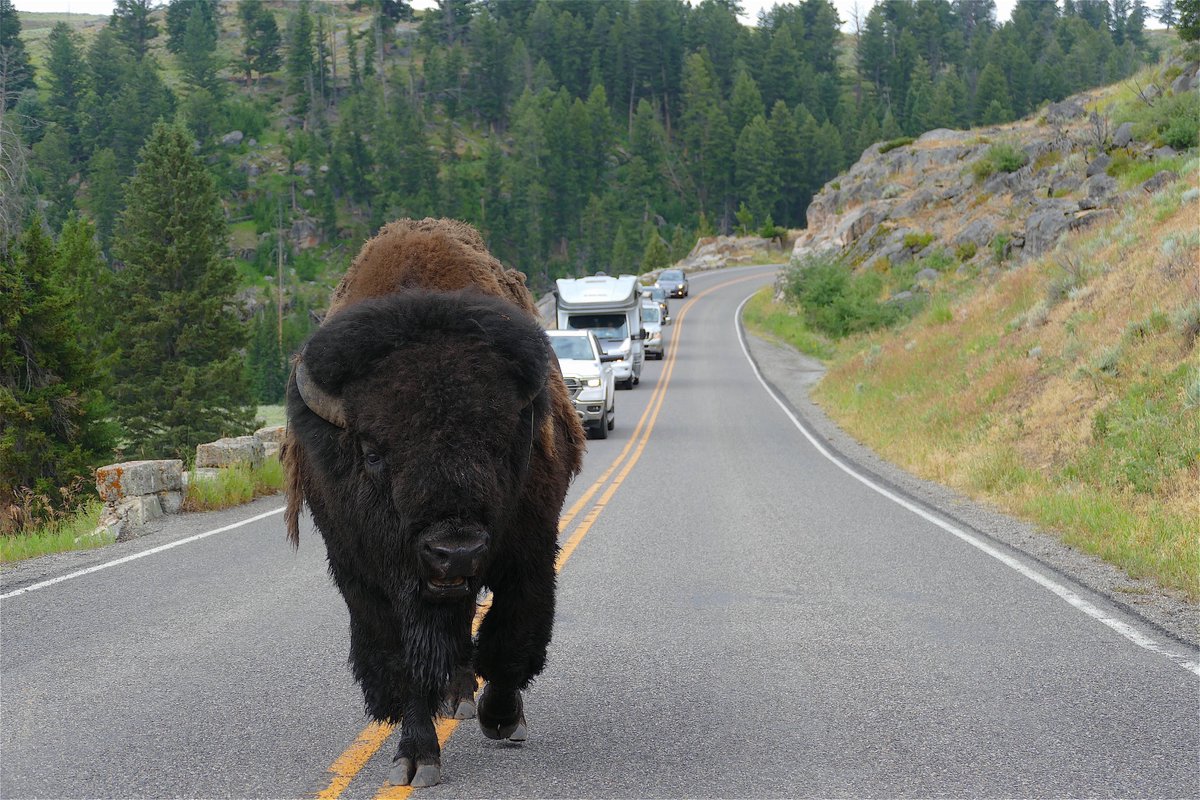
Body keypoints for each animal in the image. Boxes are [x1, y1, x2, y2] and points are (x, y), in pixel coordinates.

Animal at [282, 218, 585, 788]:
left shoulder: (529, 555)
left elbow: (511, 635)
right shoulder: (367, 580)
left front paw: (502, 718)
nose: (455, 551)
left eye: (500, 443)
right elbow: (404, 663)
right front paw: (415, 759)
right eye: (373, 452)